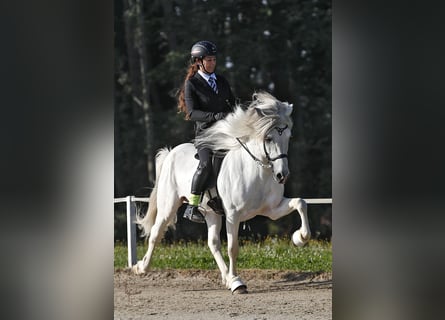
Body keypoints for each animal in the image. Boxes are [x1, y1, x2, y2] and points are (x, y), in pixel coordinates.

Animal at [133, 90, 308, 292]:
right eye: (269, 138)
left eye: (288, 137)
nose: (282, 175)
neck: (258, 172)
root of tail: (171, 153)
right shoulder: (233, 215)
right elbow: (233, 248)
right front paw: (238, 283)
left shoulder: (272, 210)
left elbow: (300, 202)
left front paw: (300, 237)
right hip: (168, 206)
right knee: (155, 233)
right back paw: (141, 267)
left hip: (211, 212)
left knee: (213, 243)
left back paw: (226, 278)